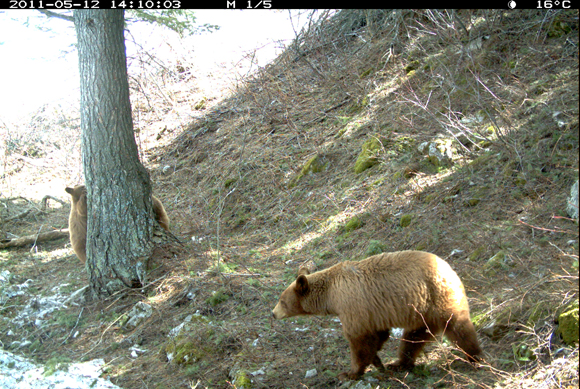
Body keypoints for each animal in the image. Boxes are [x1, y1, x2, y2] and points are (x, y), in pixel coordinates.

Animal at [272, 250, 480, 380]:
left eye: (282, 301)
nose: (273, 313)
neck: (331, 295)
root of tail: (449, 268)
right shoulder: (373, 312)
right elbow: (377, 335)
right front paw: (377, 362)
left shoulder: (352, 305)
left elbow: (359, 340)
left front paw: (351, 372)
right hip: (421, 312)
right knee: (413, 338)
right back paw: (399, 363)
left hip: (437, 297)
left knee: (458, 327)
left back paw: (474, 357)